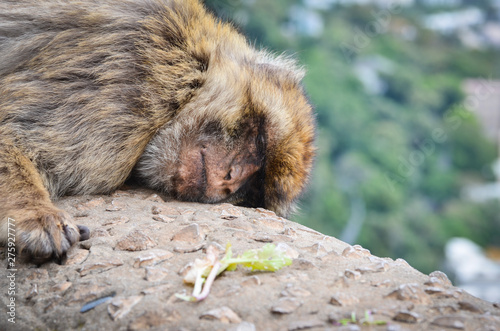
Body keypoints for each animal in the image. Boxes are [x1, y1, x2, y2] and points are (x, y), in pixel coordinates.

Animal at [0, 0, 316, 264]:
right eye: (261, 139)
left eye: (253, 187)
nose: (231, 179)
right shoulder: (132, 83)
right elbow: (11, 132)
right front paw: (36, 215)